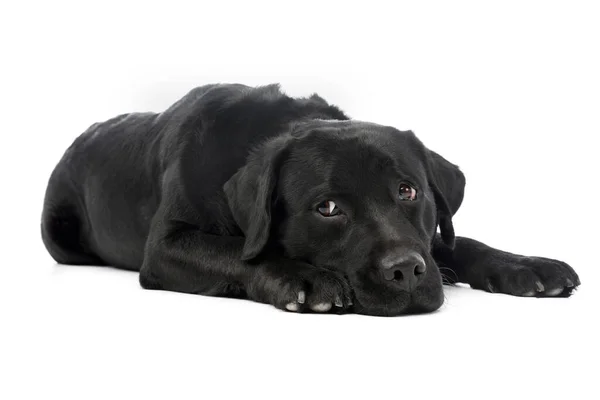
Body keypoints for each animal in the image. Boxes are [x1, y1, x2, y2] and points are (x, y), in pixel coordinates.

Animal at [39, 83, 580, 316]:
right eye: (328, 208)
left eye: (408, 190)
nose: (406, 272)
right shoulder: (167, 246)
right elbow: (238, 251)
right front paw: (303, 278)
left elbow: (455, 242)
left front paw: (528, 266)